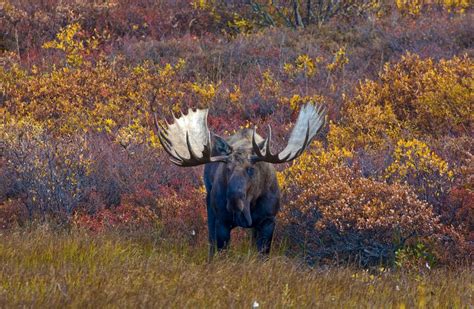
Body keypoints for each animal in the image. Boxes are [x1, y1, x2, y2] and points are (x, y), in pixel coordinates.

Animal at [156, 103, 326, 255]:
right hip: (210, 205)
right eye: (227, 169)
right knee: (211, 242)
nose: (234, 201)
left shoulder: (268, 220)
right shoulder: (222, 221)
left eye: (251, 169)